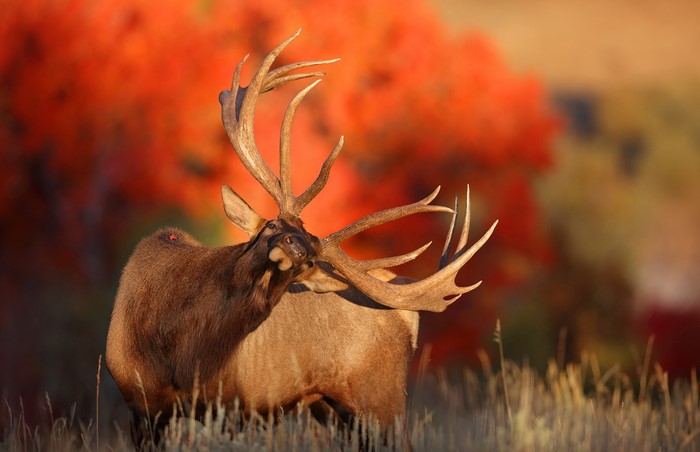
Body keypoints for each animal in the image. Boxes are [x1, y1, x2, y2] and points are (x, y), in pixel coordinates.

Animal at [105, 30, 497, 448]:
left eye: (309, 262)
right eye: (272, 226)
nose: (296, 247)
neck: (172, 348)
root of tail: (409, 316)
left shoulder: (232, 406)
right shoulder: (141, 406)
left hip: (380, 397)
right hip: (332, 407)